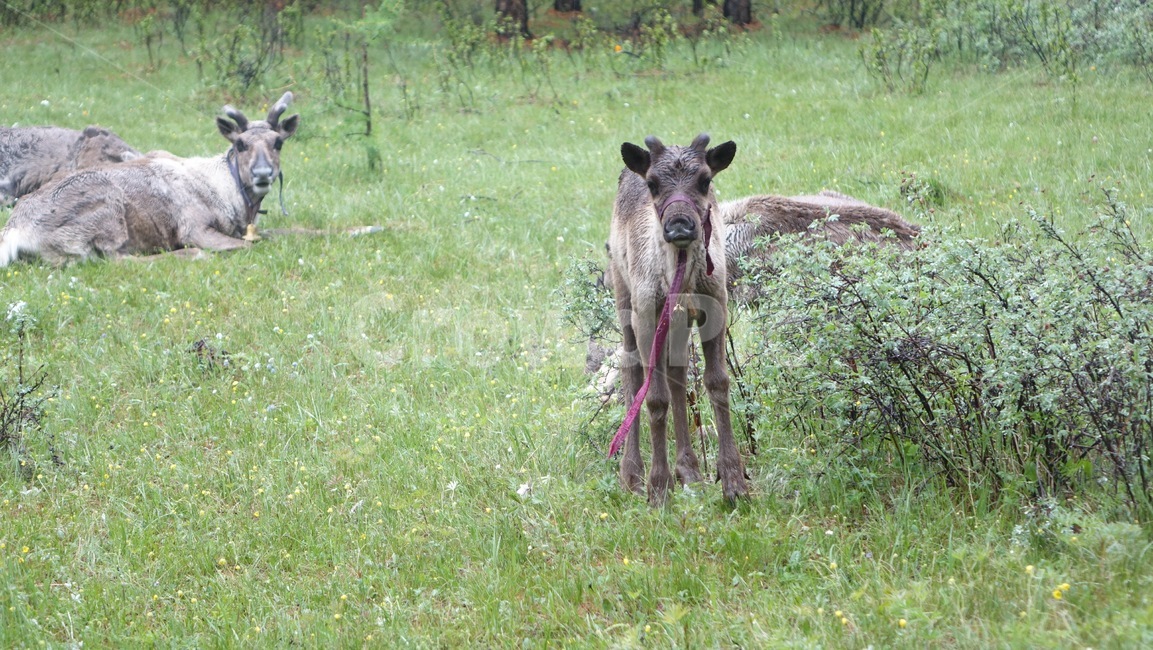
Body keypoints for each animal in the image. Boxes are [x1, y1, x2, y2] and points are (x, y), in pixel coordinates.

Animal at [0, 93, 299, 267]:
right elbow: (251, 245)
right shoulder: (194, 228)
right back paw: (190, 255)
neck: (229, 195)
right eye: (240, 144)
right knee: (116, 260)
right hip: (106, 211)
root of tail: (15, 231)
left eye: (278, 142)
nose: (263, 174)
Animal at [607, 133, 749, 505]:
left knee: (678, 373)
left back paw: (690, 470)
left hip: (678, 323)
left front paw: (733, 480)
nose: (680, 225)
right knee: (631, 371)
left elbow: (717, 382)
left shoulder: (715, 307)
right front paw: (658, 488)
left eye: (705, 180)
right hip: (624, 298)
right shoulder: (646, 315)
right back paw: (632, 473)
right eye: (653, 184)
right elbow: (655, 399)